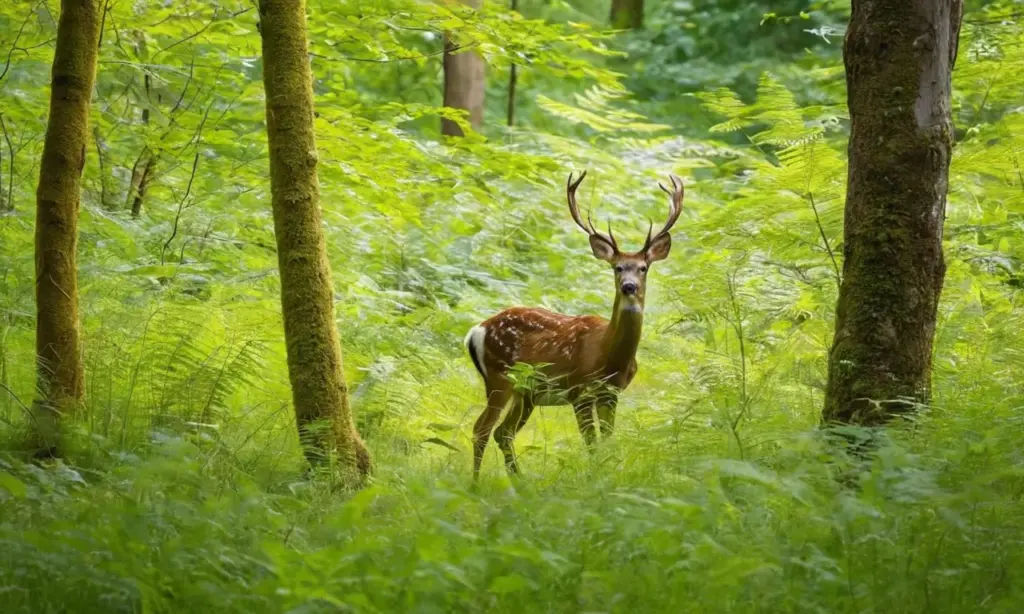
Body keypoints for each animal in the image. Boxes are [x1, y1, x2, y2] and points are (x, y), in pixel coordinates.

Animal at [464, 170, 684, 478]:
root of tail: (476, 330)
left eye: (643, 267)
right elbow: (591, 444)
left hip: (526, 393)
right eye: (617, 267)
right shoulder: (579, 390)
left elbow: (607, 440)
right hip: (500, 377)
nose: (629, 286)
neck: (608, 356)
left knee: (503, 433)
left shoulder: (610, 394)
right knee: (481, 429)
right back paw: (475, 483)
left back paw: (518, 481)